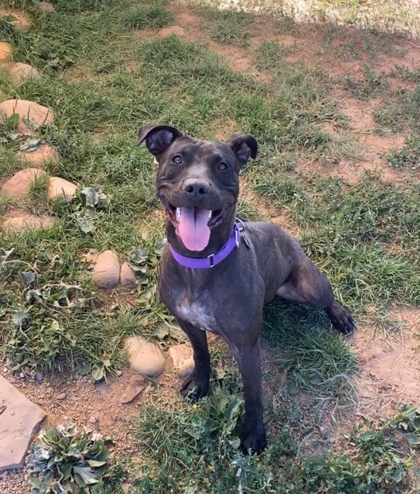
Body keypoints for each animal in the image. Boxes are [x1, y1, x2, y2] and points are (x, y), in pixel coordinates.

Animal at [138, 125, 354, 454]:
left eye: (222, 166)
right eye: (177, 159)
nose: (197, 188)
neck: (199, 263)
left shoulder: (246, 348)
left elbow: (253, 396)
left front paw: (253, 435)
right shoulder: (187, 322)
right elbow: (201, 354)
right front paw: (200, 384)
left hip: (311, 285)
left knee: (328, 297)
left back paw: (340, 315)